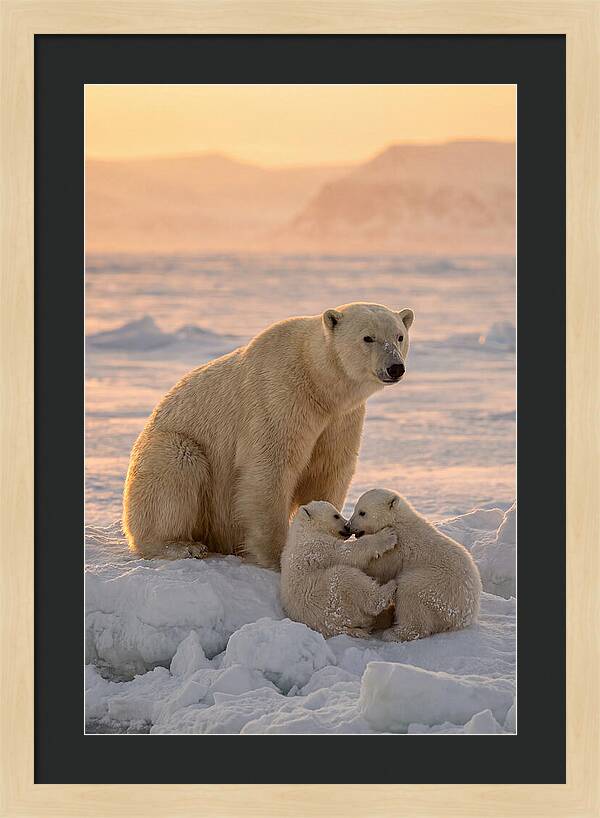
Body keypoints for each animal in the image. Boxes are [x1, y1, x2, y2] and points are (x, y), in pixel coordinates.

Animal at [123, 302, 414, 567]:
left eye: (399, 336)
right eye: (368, 337)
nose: (395, 367)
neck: (317, 382)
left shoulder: (340, 419)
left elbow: (328, 469)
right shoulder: (279, 396)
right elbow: (270, 468)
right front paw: (277, 555)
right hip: (169, 447)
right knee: (176, 467)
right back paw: (182, 545)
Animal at [280, 500, 398, 638]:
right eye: (336, 516)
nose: (347, 526)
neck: (304, 530)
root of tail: (337, 628)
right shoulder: (317, 546)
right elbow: (347, 553)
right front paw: (387, 535)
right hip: (329, 599)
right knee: (347, 579)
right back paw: (390, 587)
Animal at [347, 489, 482, 642]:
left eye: (362, 512)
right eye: (355, 509)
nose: (348, 526)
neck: (397, 521)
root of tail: (464, 617)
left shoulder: (398, 548)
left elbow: (380, 568)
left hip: (437, 588)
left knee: (410, 592)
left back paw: (393, 633)